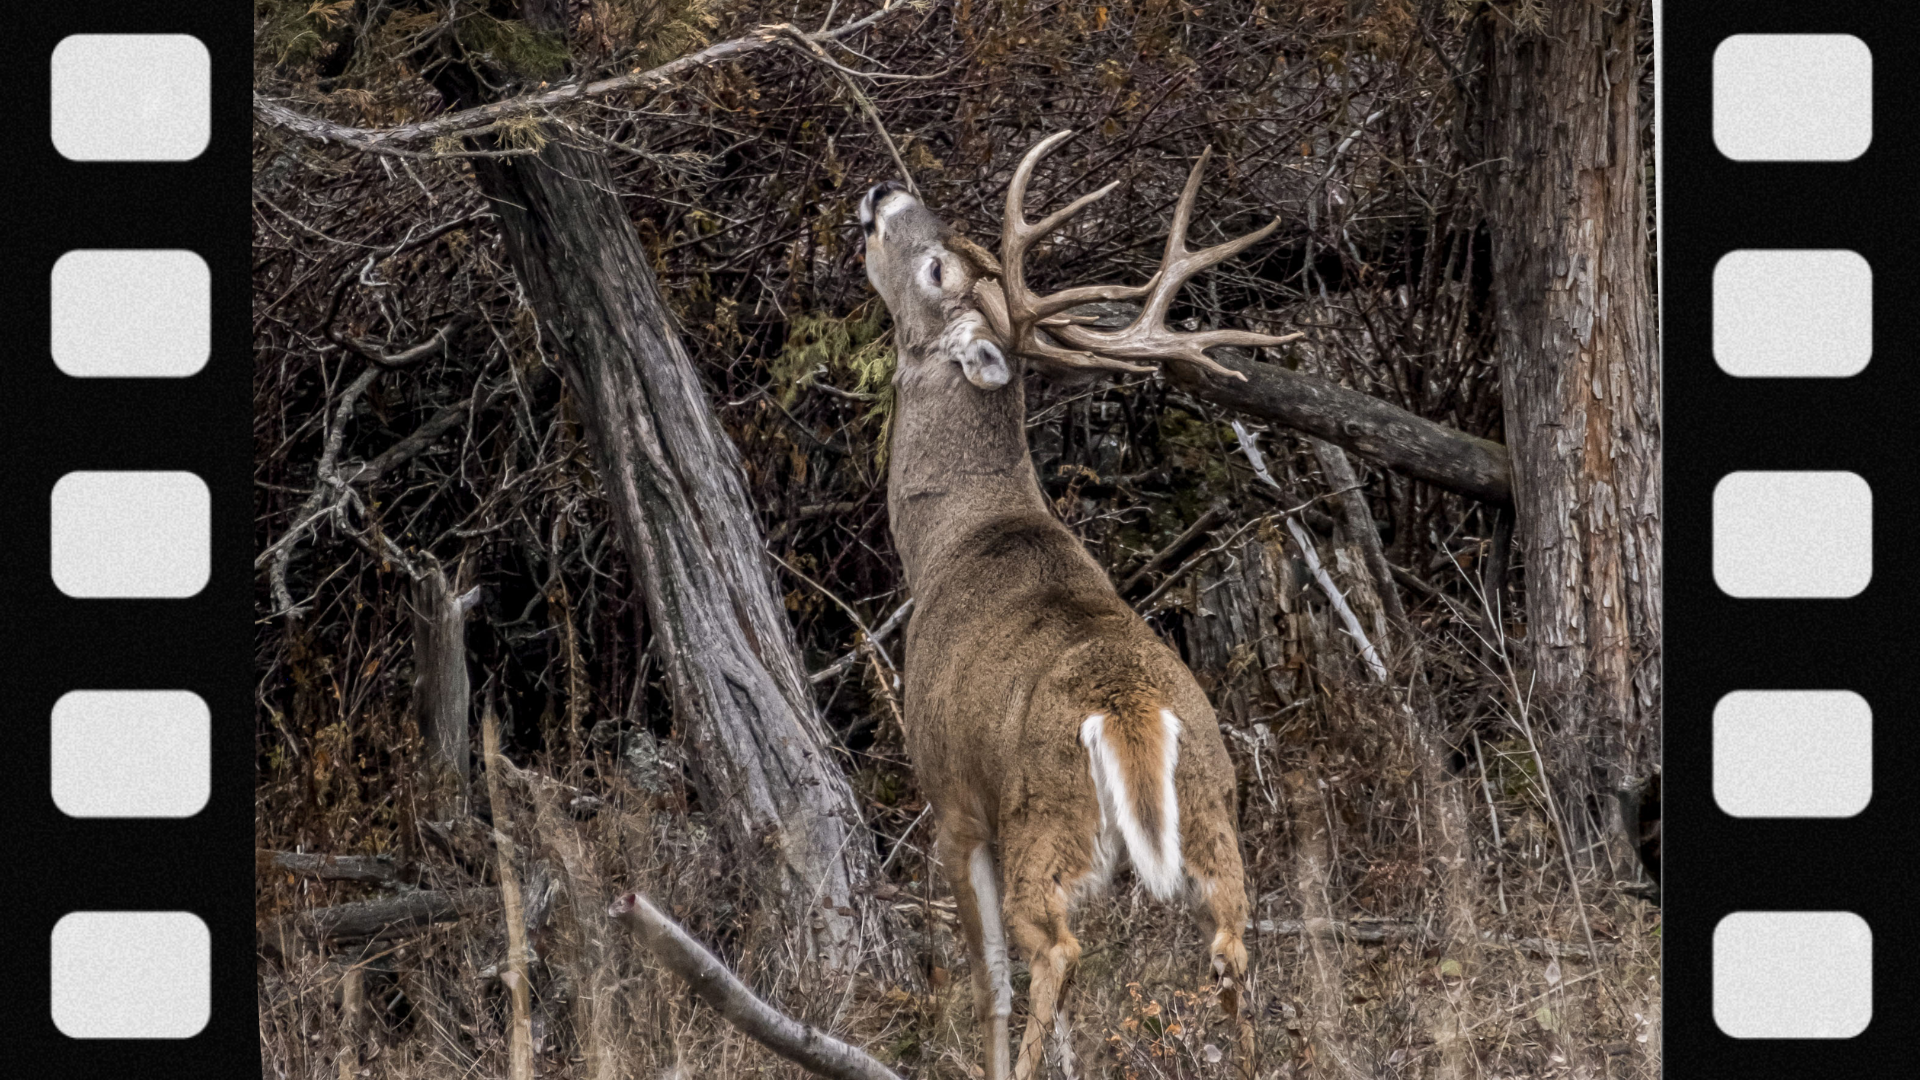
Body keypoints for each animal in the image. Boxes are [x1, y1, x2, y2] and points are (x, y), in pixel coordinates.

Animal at [857, 131, 1300, 1080]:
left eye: (938, 268)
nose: (881, 192)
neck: (953, 540)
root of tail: (1130, 712)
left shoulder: (951, 795)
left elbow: (987, 975)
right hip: (1214, 814)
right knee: (1232, 948)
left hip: (1043, 821)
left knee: (1054, 952)